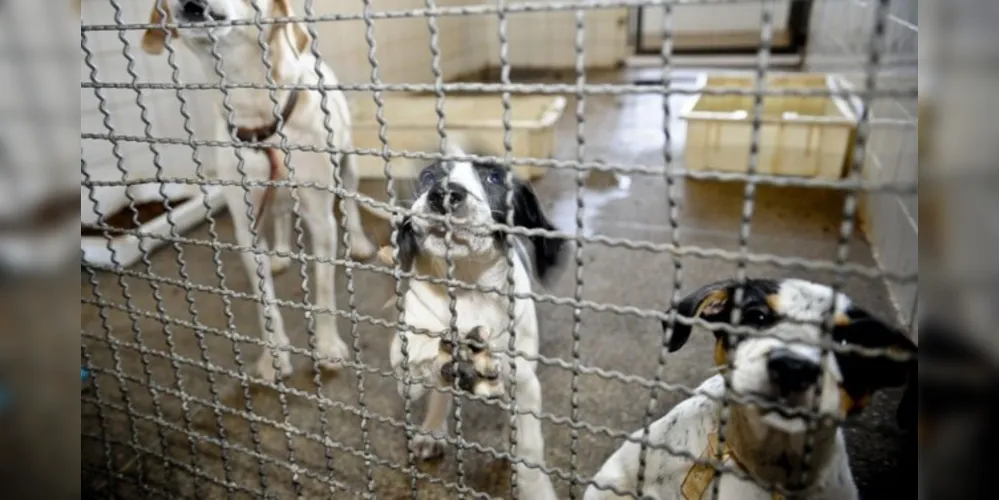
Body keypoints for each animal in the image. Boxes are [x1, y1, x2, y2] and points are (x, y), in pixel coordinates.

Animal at [139, 0, 376, 380]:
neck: (255, 112)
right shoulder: (246, 226)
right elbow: (266, 303)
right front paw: (274, 356)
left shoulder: (321, 219)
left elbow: (324, 292)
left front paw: (328, 347)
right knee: (280, 214)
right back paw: (280, 253)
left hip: (348, 163)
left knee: (350, 204)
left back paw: (359, 243)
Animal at [382, 143, 568, 500]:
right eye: (429, 176)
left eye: (493, 178)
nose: (443, 194)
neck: (469, 286)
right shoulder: (406, 359)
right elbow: (419, 357)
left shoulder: (525, 381)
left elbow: (530, 445)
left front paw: (536, 488)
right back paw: (433, 428)